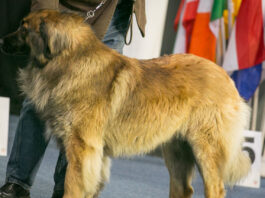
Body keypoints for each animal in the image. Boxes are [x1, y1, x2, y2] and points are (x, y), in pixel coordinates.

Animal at [1, 10, 250, 198]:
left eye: (24, 28)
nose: (1, 40)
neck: (67, 60)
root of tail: (225, 75)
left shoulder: (83, 147)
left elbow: (73, 185)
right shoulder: (95, 153)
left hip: (206, 148)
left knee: (215, 188)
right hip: (177, 149)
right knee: (183, 189)